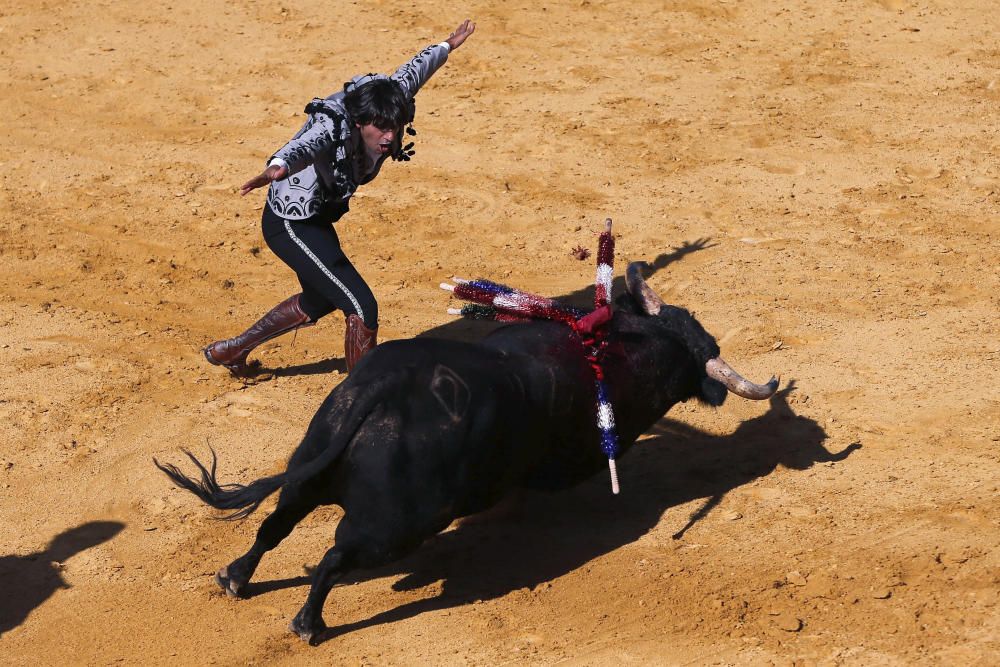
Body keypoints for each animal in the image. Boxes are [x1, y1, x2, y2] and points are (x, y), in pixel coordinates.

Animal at [158, 264, 780, 644]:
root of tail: (383, 390)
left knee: (274, 525)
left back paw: (235, 577)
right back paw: (309, 623)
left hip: (309, 466)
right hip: (397, 526)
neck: (624, 346)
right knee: (335, 557)